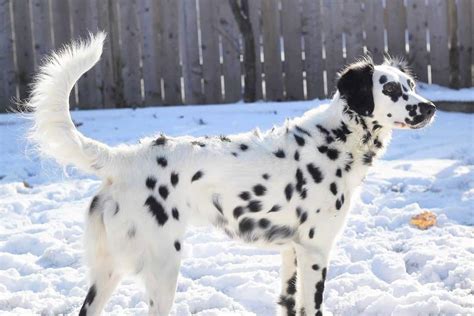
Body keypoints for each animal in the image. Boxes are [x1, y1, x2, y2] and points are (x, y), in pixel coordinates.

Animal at [25, 34, 434, 316]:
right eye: (391, 89)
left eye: (412, 86)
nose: (429, 108)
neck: (333, 140)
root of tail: (122, 159)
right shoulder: (315, 249)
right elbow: (311, 306)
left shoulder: (291, 251)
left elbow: (288, 303)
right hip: (163, 265)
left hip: (107, 272)